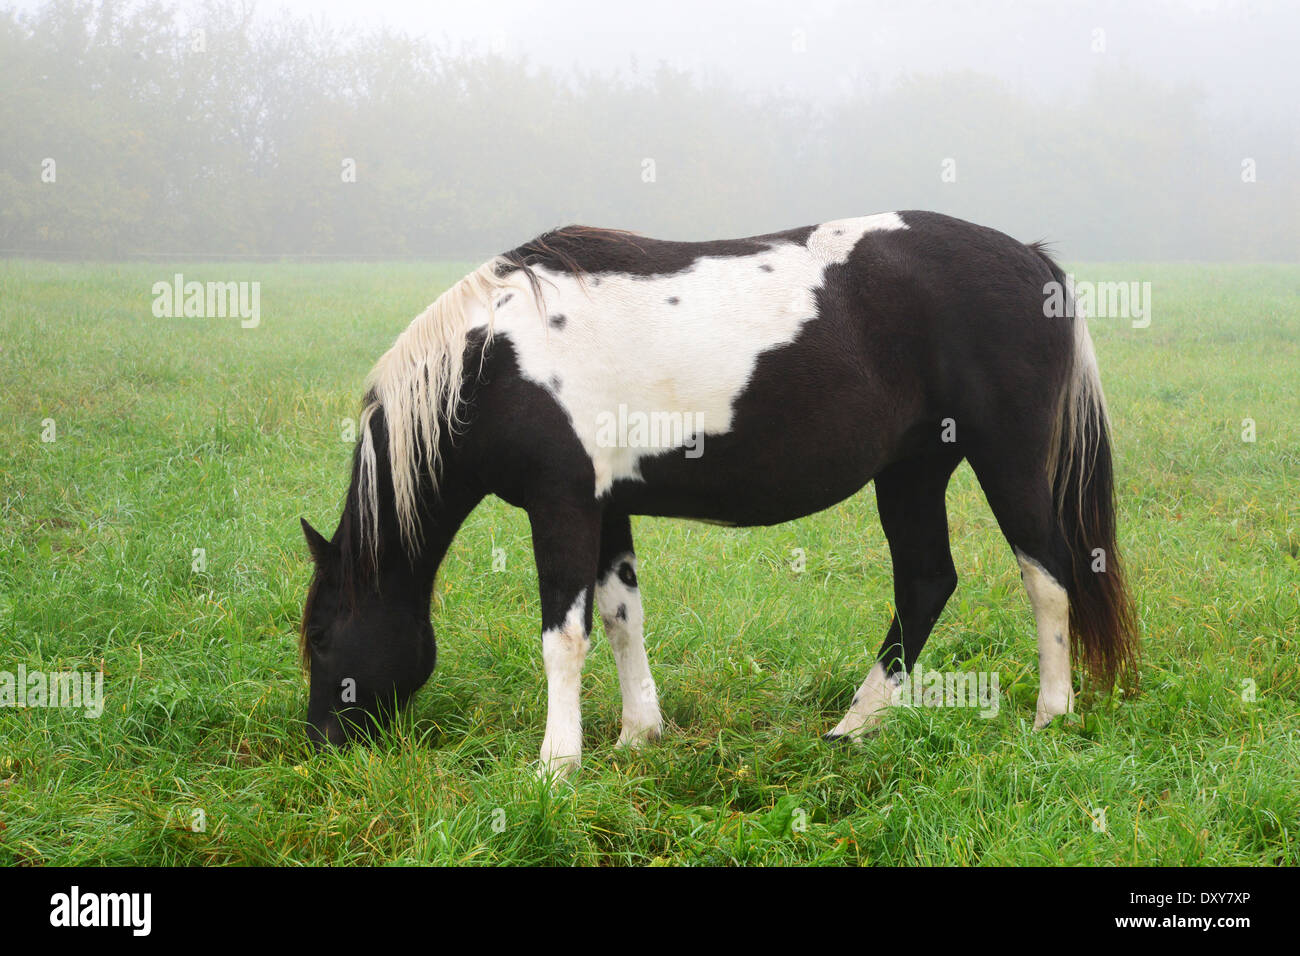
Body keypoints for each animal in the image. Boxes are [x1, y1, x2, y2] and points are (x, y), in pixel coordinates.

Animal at [299, 210, 1133, 780]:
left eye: (321, 636)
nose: (318, 744)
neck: (499, 357)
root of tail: (1031, 261)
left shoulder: (562, 504)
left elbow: (563, 638)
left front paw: (555, 766)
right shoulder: (608, 506)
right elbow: (621, 616)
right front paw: (638, 735)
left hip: (1006, 460)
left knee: (1047, 576)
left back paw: (1050, 716)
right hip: (913, 469)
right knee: (927, 582)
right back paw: (855, 726)